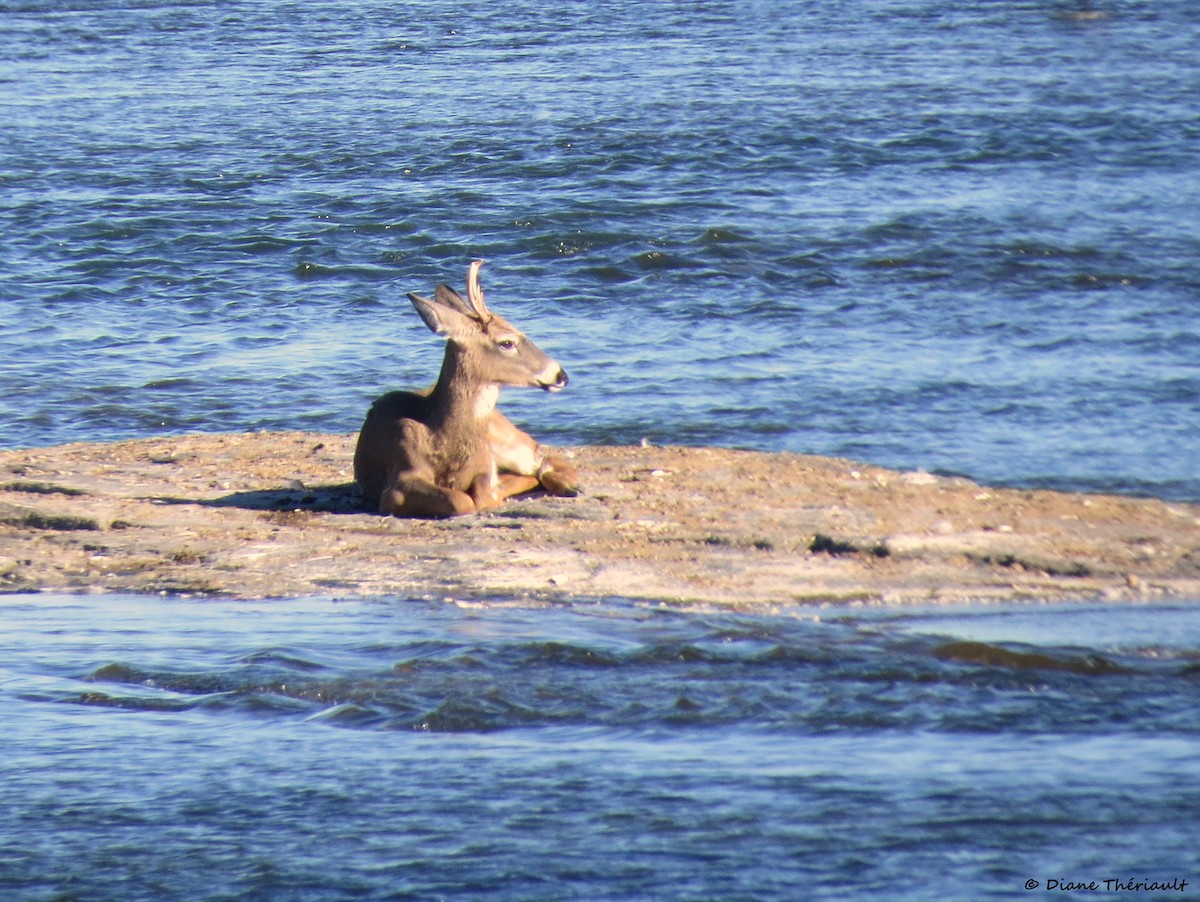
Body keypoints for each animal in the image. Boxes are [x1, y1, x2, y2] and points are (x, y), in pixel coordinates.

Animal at [354, 260, 579, 518]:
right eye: (506, 342)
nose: (561, 375)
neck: (441, 438)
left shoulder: (484, 464)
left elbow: (482, 495)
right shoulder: (398, 479)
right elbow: (461, 501)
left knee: (543, 457)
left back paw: (568, 485)